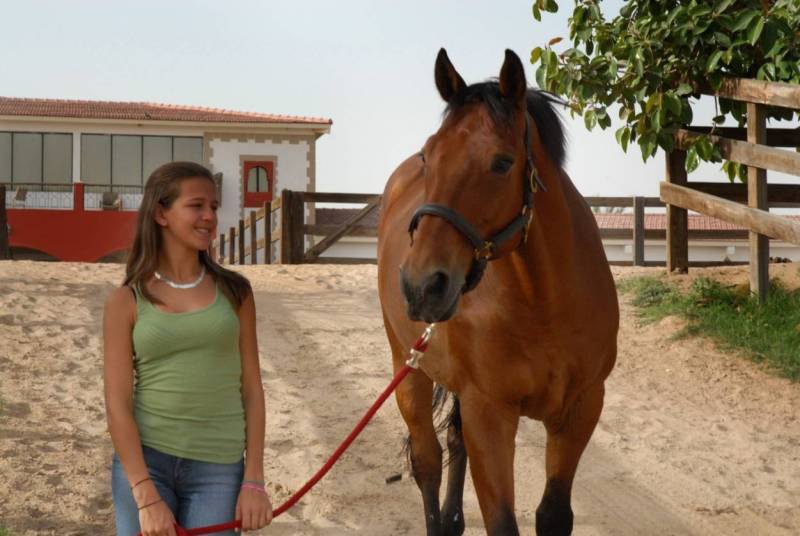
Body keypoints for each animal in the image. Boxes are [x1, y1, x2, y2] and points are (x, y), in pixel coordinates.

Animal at [376, 48, 620, 532]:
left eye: (503, 162)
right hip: (407, 369)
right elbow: (501, 521)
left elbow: (553, 515)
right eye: (429, 156)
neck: (545, 304)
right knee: (427, 463)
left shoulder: (581, 409)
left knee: (453, 444)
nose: (421, 285)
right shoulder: (489, 413)